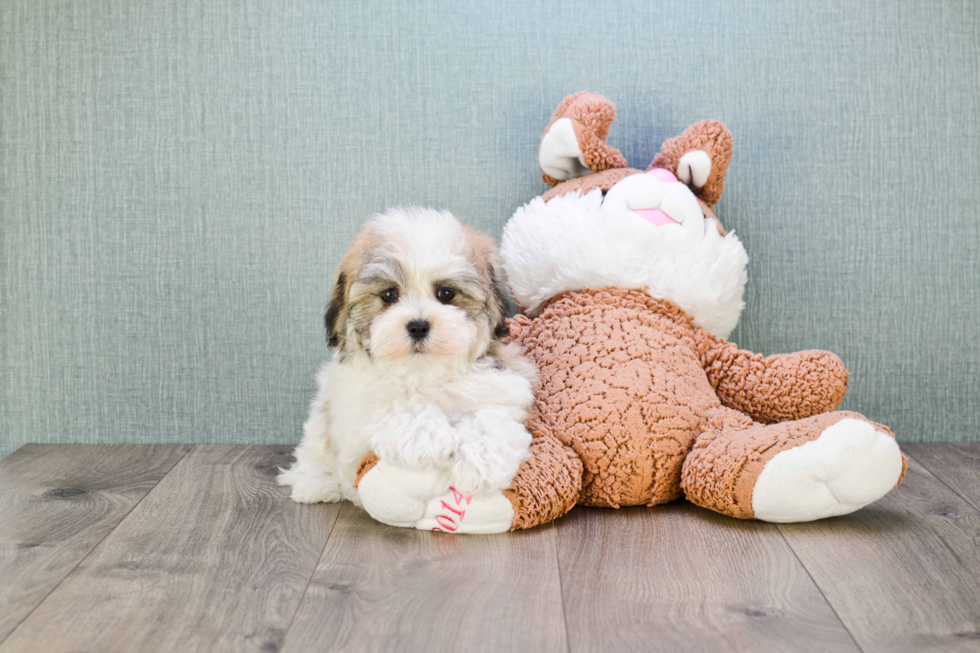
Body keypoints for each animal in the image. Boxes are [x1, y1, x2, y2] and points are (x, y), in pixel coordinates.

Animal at [276, 211, 536, 532]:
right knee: (313, 453)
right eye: (389, 294)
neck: (423, 373)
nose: (419, 325)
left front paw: (483, 460)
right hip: (320, 420)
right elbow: (393, 405)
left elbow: (492, 417)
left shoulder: (505, 389)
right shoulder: (355, 407)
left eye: (446, 293)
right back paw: (315, 485)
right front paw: (426, 436)